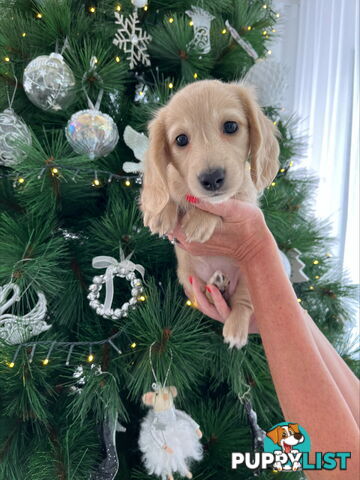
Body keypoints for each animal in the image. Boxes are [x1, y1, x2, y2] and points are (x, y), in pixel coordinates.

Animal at [140, 80, 278, 346]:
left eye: (231, 126)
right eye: (181, 139)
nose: (212, 178)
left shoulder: (245, 195)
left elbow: (222, 201)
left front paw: (200, 220)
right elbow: (167, 183)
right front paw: (160, 211)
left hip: (250, 279)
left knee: (242, 303)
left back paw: (235, 326)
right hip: (188, 277)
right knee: (206, 292)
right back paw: (216, 286)